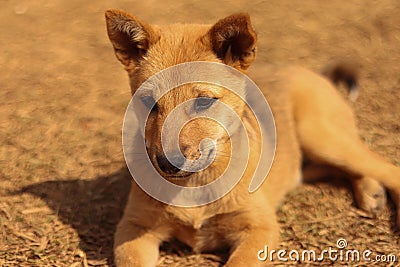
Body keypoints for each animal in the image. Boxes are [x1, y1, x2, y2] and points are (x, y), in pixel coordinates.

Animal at [104, 9, 400, 266]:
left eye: (203, 101)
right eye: (148, 102)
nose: (167, 164)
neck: (195, 186)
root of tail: (314, 73)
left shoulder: (259, 228)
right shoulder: (134, 226)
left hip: (320, 137)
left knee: (386, 167)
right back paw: (371, 191)